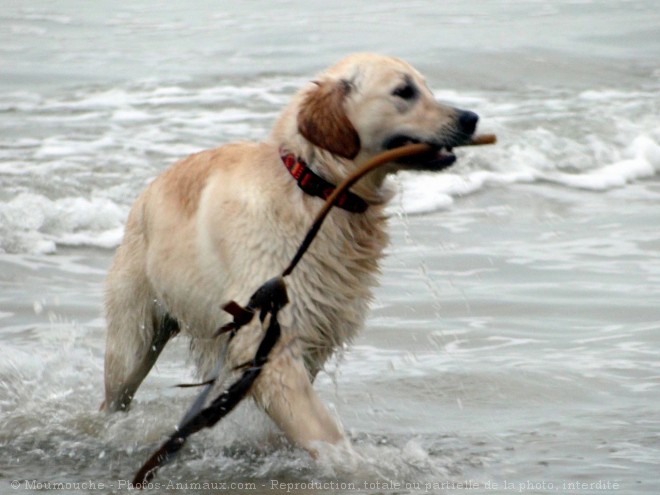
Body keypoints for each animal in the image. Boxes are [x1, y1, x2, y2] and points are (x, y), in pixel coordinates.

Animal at [105, 52, 482, 456]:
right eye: (404, 92)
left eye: (426, 88)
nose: (471, 117)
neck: (316, 189)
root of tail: (145, 194)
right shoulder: (267, 337)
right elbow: (324, 432)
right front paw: (356, 464)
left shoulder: (312, 332)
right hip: (133, 340)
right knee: (116, 394)